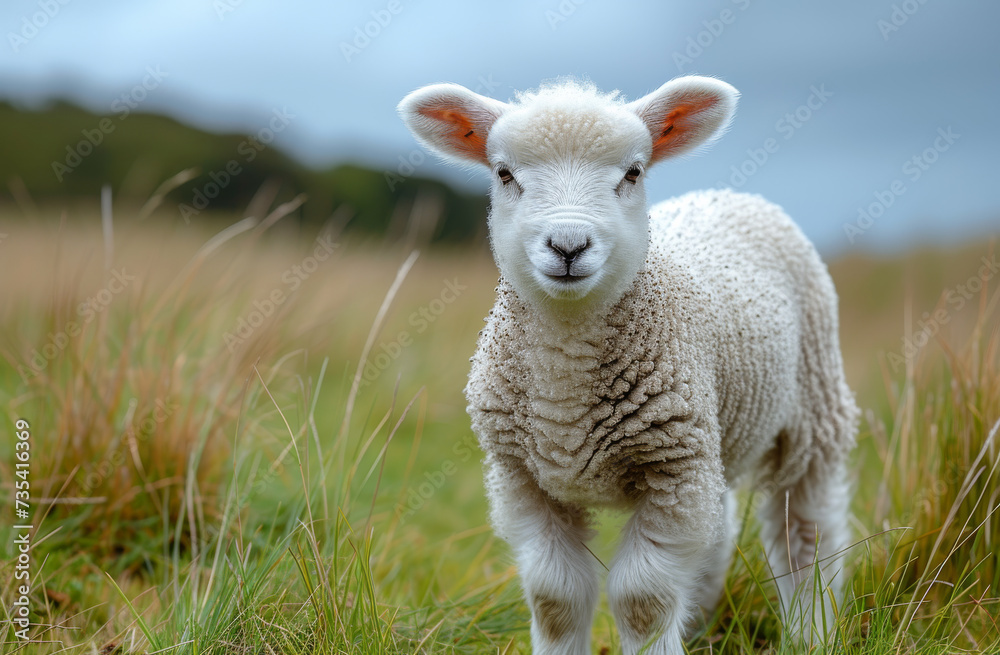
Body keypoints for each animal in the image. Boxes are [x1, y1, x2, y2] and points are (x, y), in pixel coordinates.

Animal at [398, 76, 858, 655]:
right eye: (504, 174)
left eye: (633, 173)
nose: (568, 246)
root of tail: (733, 196)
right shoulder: (522, 477)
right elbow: (555, 599)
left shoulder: (672, 469)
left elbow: (643, 600)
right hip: (714, 443)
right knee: (718, 537)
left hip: (813, 413)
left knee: (807, 539)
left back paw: (812, 634)